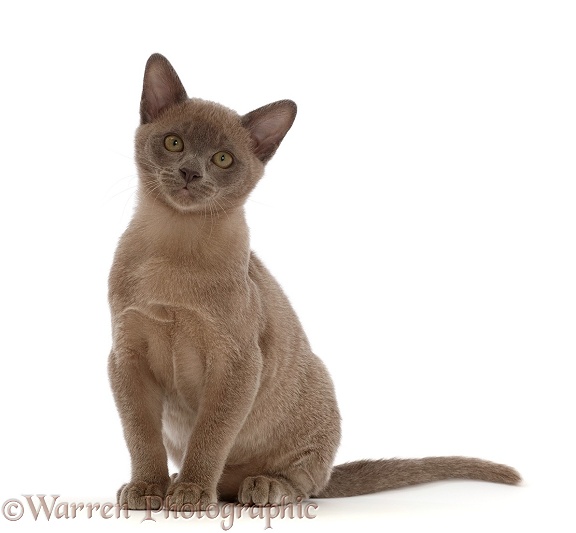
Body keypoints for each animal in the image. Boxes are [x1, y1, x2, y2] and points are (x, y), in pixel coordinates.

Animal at [108, 54, 520, 512]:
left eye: (222, 159)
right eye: (174, 143)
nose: (189, 173)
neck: (174, 246)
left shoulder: (236, 364)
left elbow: (209, 438)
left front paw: (192, 494)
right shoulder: (126, 357)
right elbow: (141, 436)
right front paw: (147, 488)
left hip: (314, 388)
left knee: (304, 481)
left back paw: (255, 486)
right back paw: (184, 483)